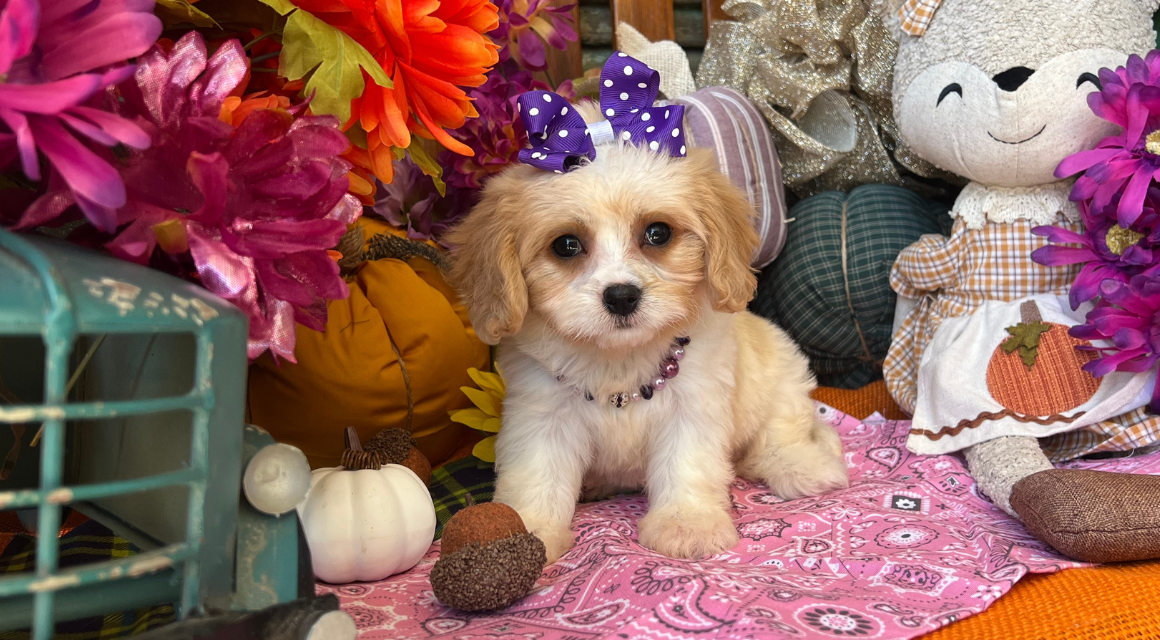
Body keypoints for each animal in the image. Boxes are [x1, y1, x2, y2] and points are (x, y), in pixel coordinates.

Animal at [447, 106, 849, 565]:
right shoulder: (539, 415)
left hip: (780, 380)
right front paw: (524, 533)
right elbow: (536, 475)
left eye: (658, 233)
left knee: (780, 436)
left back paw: (806, 468)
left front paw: (687, 524)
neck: (619, 358)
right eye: (566, 245)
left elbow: (687, 466)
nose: (622, 296)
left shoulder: (692, 408)